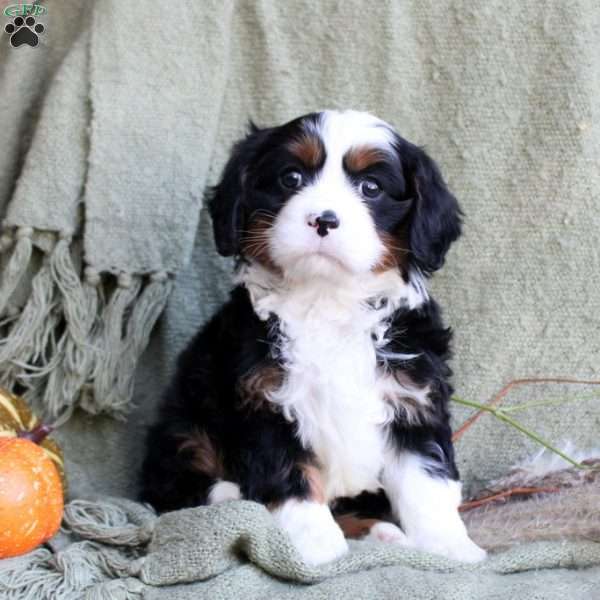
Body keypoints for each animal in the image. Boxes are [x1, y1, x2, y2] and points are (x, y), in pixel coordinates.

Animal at [142, 110, 488, 564]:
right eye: (290, 178)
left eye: (371, 187)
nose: (323, 219)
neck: (327, 299)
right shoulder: (263, 402)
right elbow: (291, 477)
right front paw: (313, 546)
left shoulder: (413, 400)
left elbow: (426, 479)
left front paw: (449, 546)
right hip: (184, 426)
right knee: (180, 486)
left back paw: (380, 532)